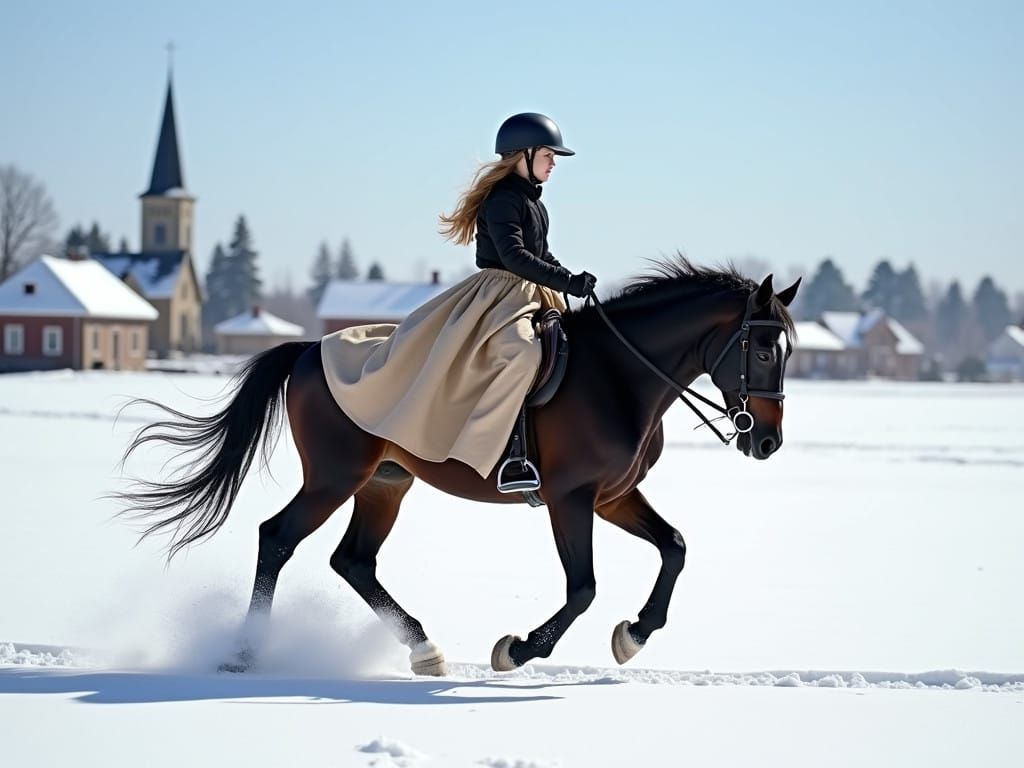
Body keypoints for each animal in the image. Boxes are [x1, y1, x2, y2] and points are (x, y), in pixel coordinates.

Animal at [116, 258, 799, 676]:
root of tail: (312, 350)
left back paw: (424, 649)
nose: (767, 441)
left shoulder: (612, 495)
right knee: (277, 537)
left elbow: (675, 547)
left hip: (385, 484)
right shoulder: (571, 498)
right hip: (335, 478)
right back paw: (246, 653)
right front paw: (519, 649)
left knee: (352, 560)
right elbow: (582, 588)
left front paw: (634, 634)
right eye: (764, 348)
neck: (619, 374)